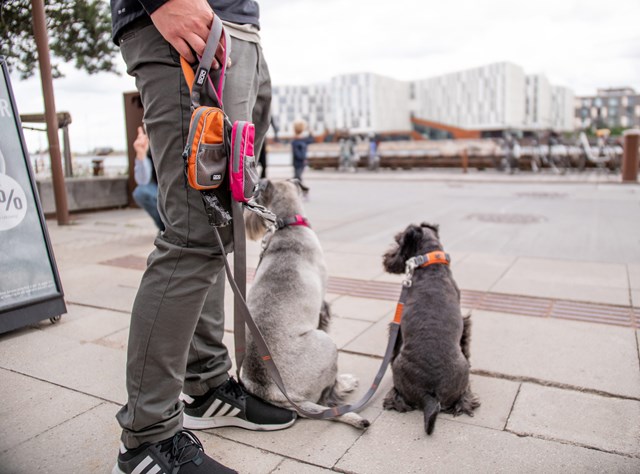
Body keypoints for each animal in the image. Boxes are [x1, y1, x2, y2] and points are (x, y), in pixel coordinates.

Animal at [241, 179, 370, 430]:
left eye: (256, 197)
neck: (287, 225)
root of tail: (272, 392)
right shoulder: (323, 306)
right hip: (328, 345)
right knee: (327, 394)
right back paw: (345, 383)